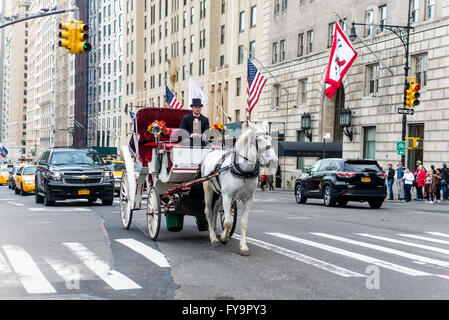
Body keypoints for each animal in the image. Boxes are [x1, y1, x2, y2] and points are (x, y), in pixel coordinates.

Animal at [201, 121, 278, 256]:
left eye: (270, 139)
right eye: (260, 140)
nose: (273, 161)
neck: (244, 171)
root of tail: (212, 151)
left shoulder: (248, 199)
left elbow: (243, 223)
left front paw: (243, 246)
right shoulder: (228, 196)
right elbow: (228, 222)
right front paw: (224, 237)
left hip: (220, 193)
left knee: (215, 209)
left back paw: (215, 229)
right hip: (208, 189)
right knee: (209, 212)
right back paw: (213, 238)